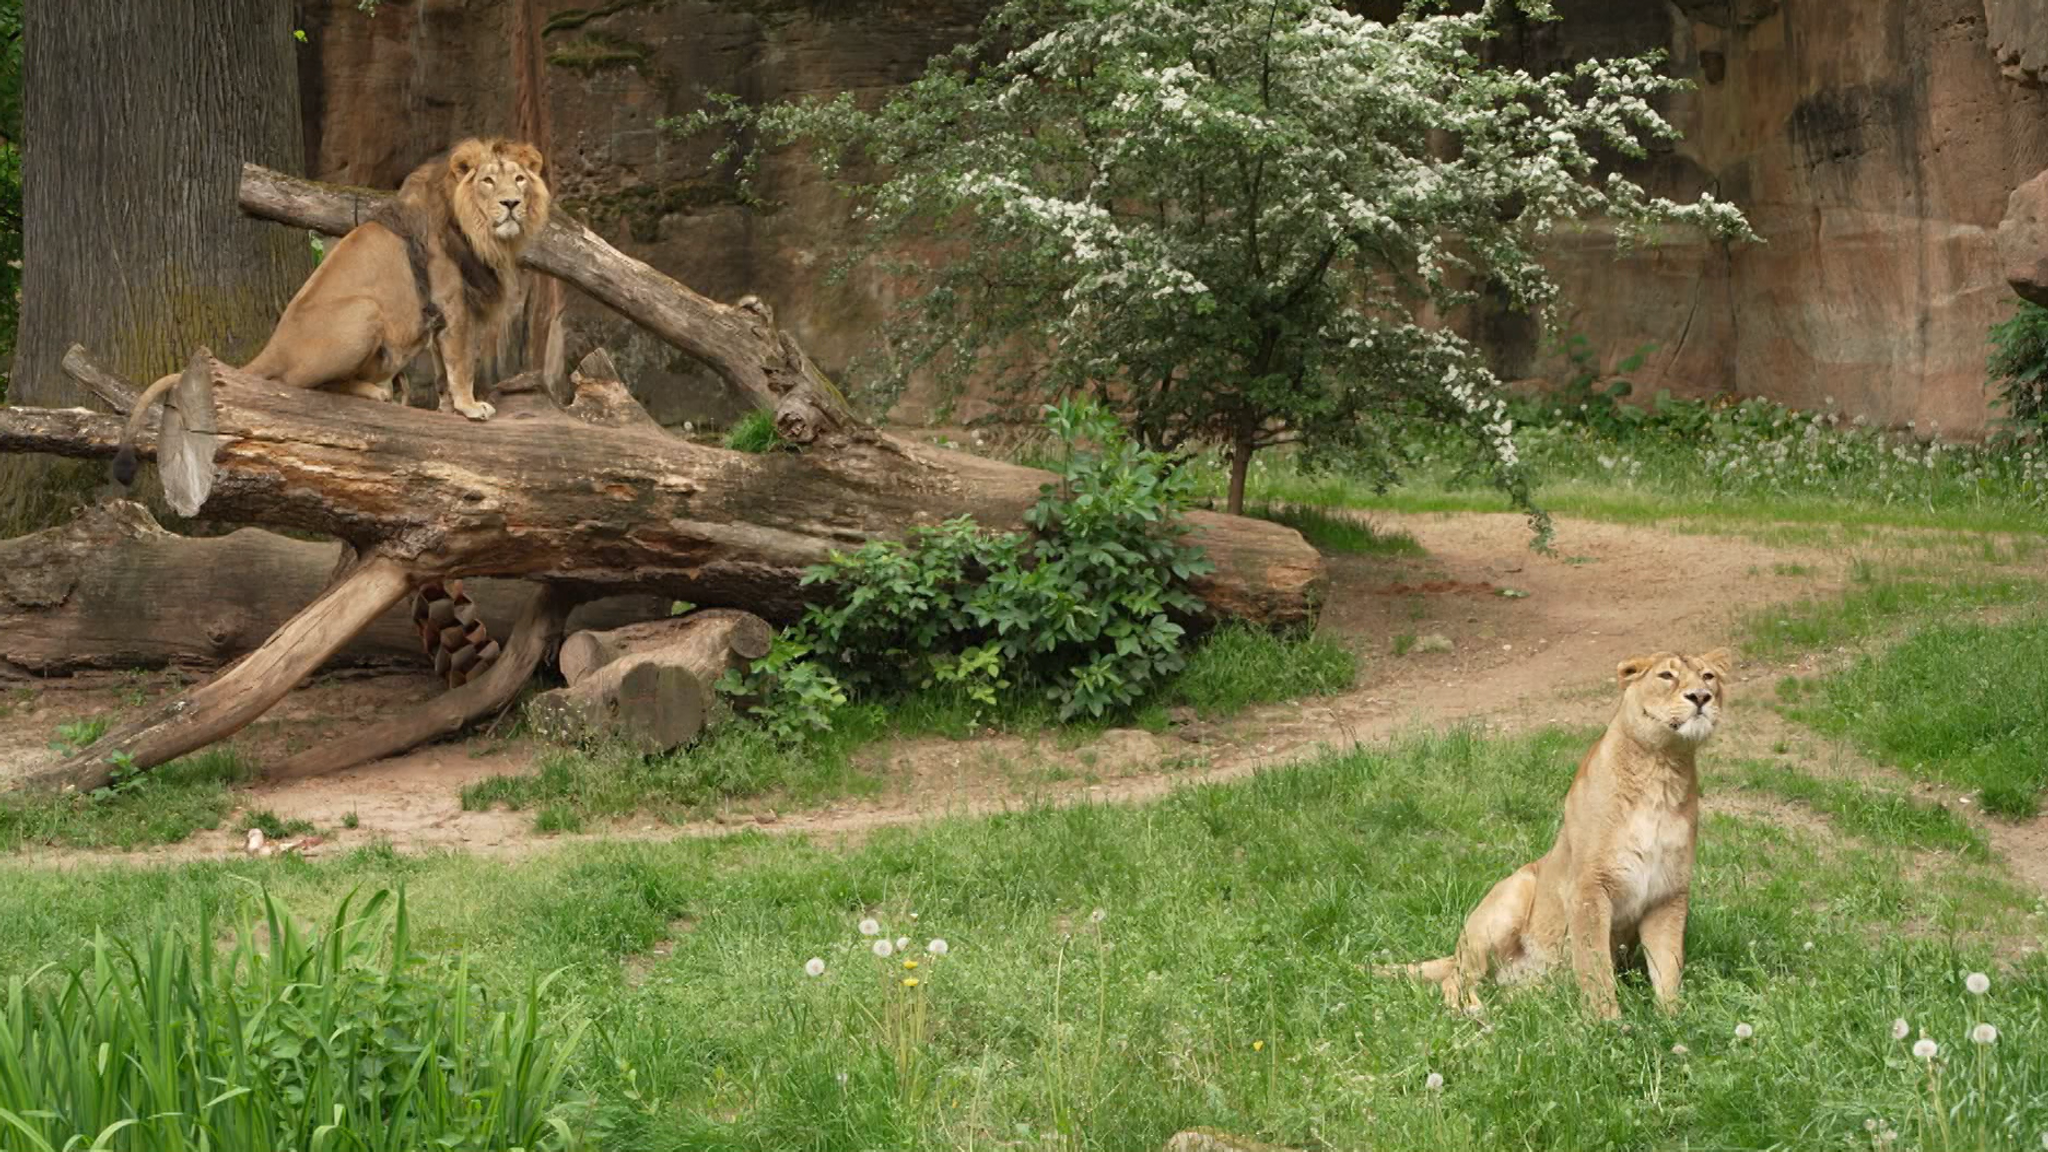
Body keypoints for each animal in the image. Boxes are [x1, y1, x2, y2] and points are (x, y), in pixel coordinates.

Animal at [111, 135, 544, 483]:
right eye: (488, 181)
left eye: (520, 179)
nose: (511, 203)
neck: (477, 232)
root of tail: (275, 345)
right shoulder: (453, 305)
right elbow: (460, 364)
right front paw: (471, 407)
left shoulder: (440, 314)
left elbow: (442, 368)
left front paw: (449, 409)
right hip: (364, 312)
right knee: (303, 387)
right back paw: (375, 392)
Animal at [1392, 647, 1728, 1012]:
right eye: (1666, 676)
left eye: (1708, 676)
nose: (1701, 696)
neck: (1662, 767)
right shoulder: (1589, 887)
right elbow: (1595, 965)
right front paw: (1606, 1020)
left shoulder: (1668, 893)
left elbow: (1668, 965)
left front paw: (1673, 1017)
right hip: (1513, 894)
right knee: (1456, 978)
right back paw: (1473, 1010)